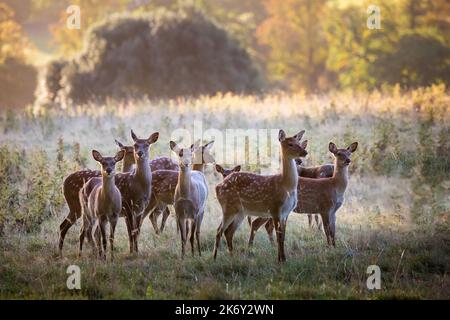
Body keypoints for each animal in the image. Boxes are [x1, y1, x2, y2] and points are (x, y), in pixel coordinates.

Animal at [213, 130, 308, 262]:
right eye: (290, 144)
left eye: (299, 142)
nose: (305, 153)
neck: (286, 186)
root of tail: (217, 187)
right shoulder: (275, 208)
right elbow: (278, 237)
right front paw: (280, 260)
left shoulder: (286, 213)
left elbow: (283, 237)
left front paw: (284, 259)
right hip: (228, 208)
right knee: (219, 230)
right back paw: (214, 258)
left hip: (240, 212)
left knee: (228, 231)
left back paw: (232, 257)